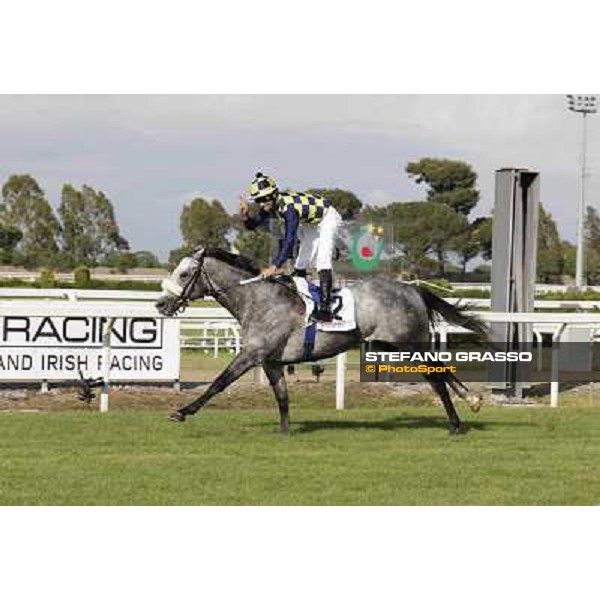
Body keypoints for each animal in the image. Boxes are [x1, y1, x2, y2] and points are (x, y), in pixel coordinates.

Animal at [156, 246, 488, 434]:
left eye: (184, 274)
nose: (161, 304)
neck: (258, 298)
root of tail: (412, 289)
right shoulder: (271, 361)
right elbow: (282, 397)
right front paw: (285, 433)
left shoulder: (252, 354)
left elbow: (219, 382)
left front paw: (181, 412)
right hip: (392, 344)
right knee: (440, 368)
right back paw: (472, 400)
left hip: (408, 342)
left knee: (435, 376)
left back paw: (456, 423)